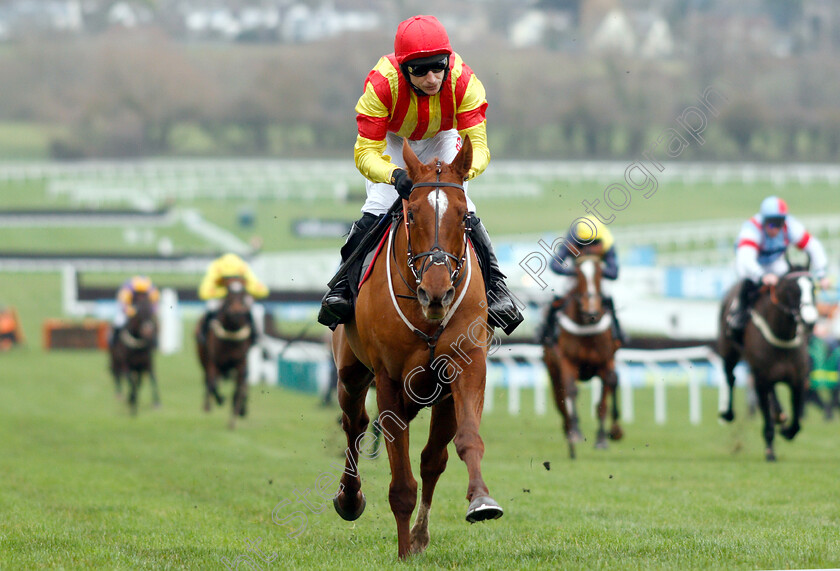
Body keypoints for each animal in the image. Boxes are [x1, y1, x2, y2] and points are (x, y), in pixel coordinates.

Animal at [328, 137, 502, 560]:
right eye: (411, 214)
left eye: (464, 216)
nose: (436, 292)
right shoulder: (389, 380)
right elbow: (401, 484)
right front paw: (404, 550)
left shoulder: (466, 369)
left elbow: (461, 443)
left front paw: (481, 501)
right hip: (351, 374)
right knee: (354, 425)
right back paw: (349, 499)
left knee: (430, 460)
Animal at [540, 250, 620, 460]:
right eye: (578, 273)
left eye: (599, 272)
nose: (591, 312)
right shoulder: (567, 361)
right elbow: (570, 391)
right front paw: (575, 432)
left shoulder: (606, 361)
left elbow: (604, 397)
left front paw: (602, 439)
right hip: (552, 368)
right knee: (560, 398)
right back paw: (569, 429)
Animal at [720, 270, 816, 462]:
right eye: (792, 290)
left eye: (813, 288)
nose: (810, 322)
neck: (782, 337)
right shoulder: (761, 381)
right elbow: (766, 415)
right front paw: (770, 451)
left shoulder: (798, 379)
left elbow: (796, 422)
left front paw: (786, 431)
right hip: (728, 349)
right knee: (730, 376)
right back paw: (728, 413)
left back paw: (780, 415)